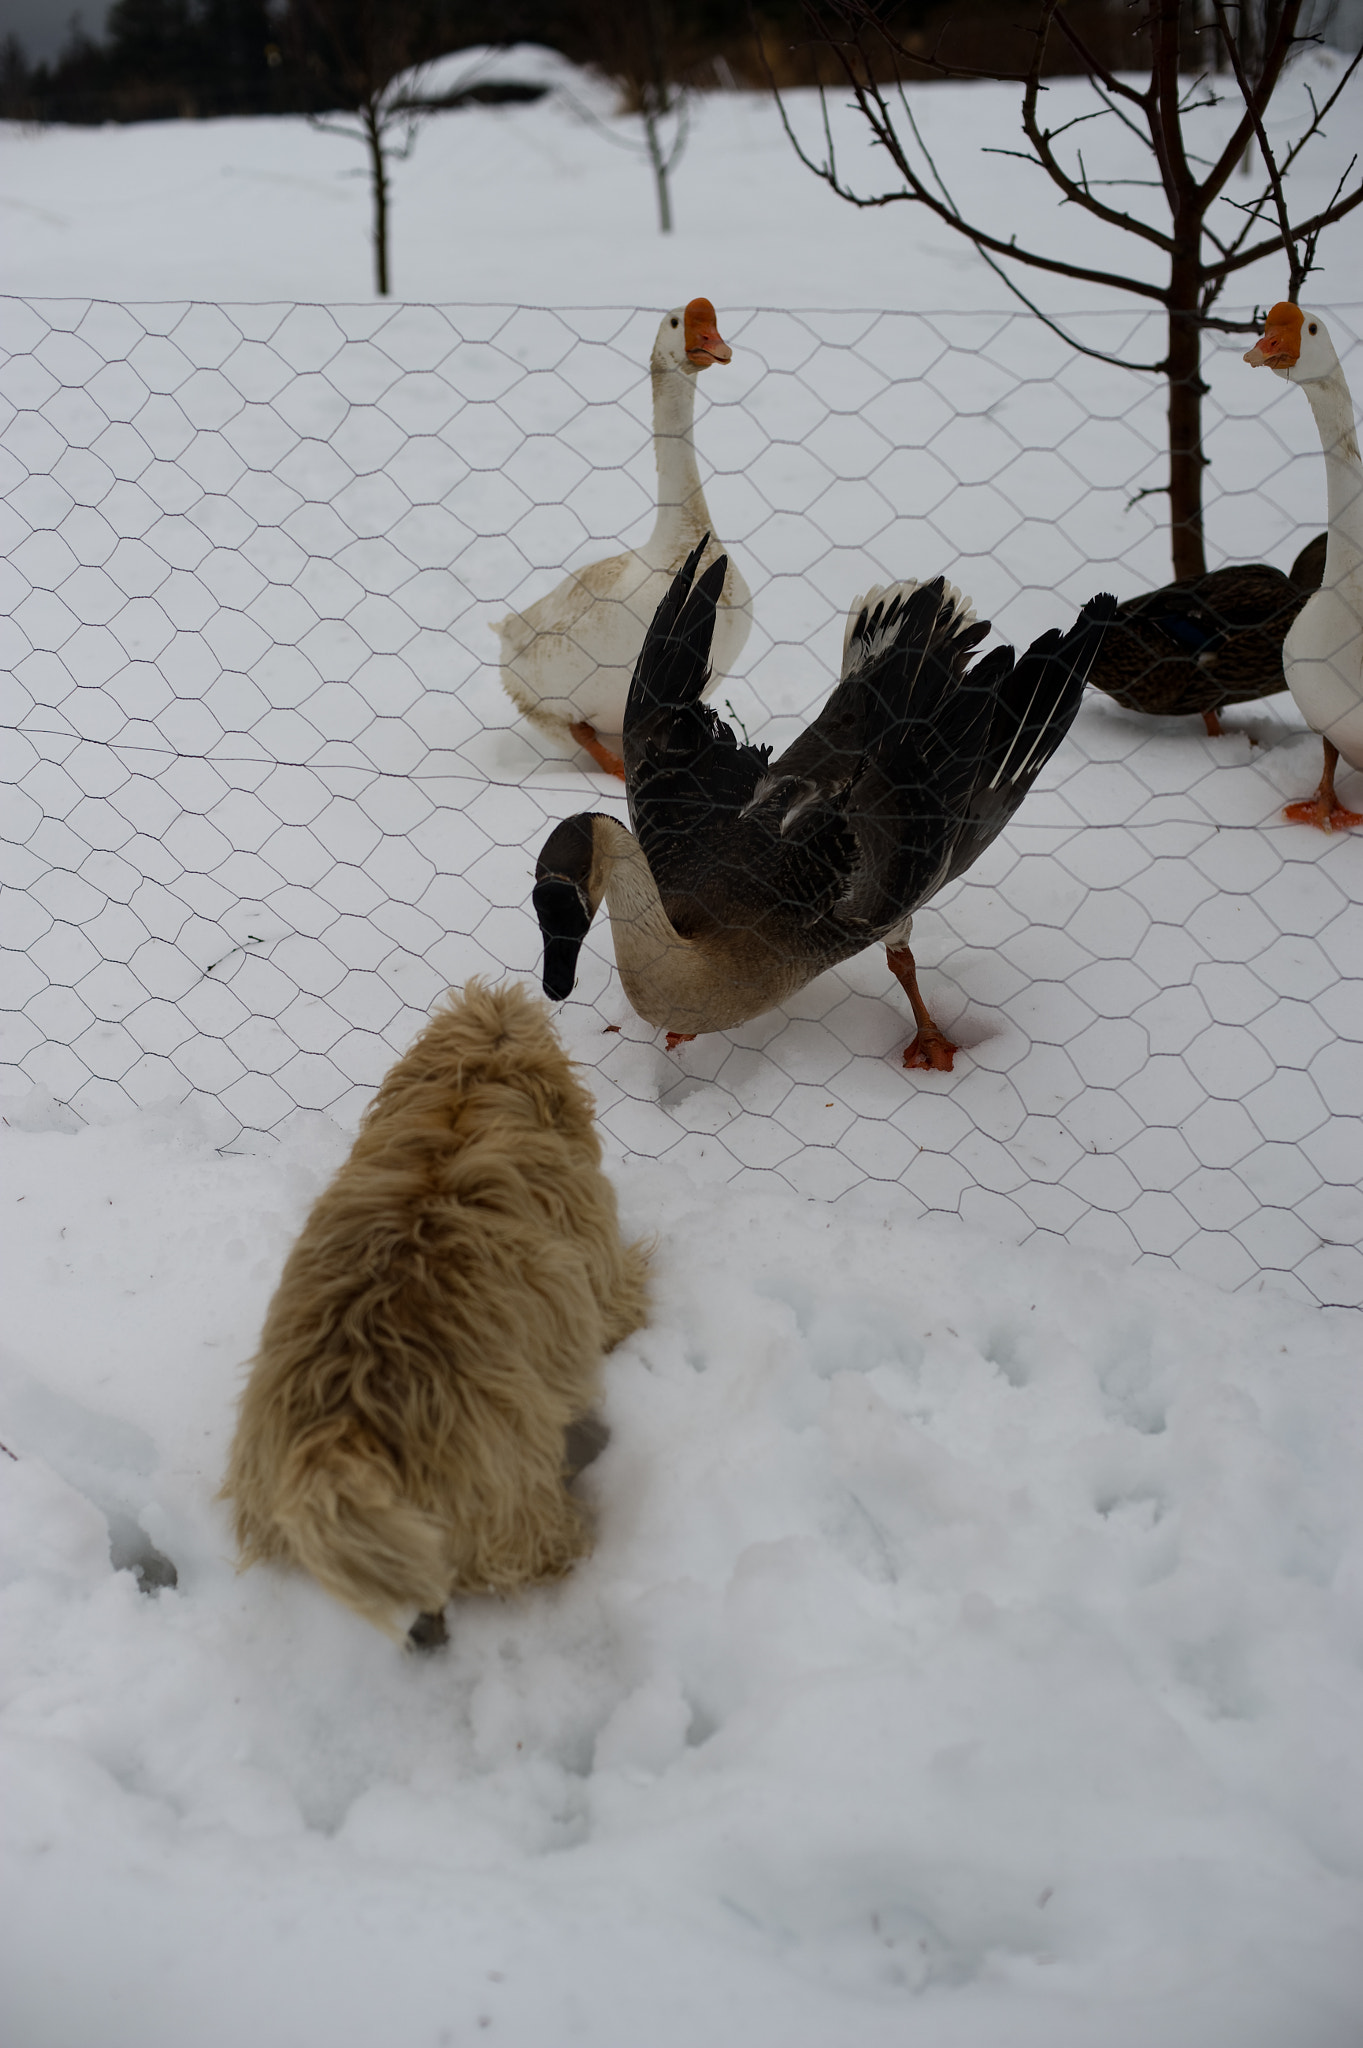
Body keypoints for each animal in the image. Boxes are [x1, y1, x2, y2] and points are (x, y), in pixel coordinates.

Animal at [220, 983, 646, 1638]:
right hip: (506, 1498)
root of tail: (344, 1435)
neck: (460, 1108)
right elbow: (620, 1303)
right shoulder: (595, 1266)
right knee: (524, 1549)